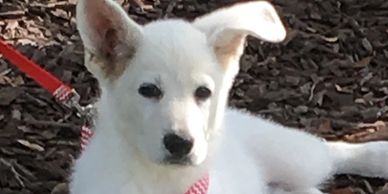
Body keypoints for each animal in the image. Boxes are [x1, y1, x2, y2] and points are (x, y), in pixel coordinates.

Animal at [69, 0, 388, 193]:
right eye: (148, 90)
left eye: (203, 92)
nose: (180, 144)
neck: (164, 181)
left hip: (292, 155)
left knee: (328, 151)